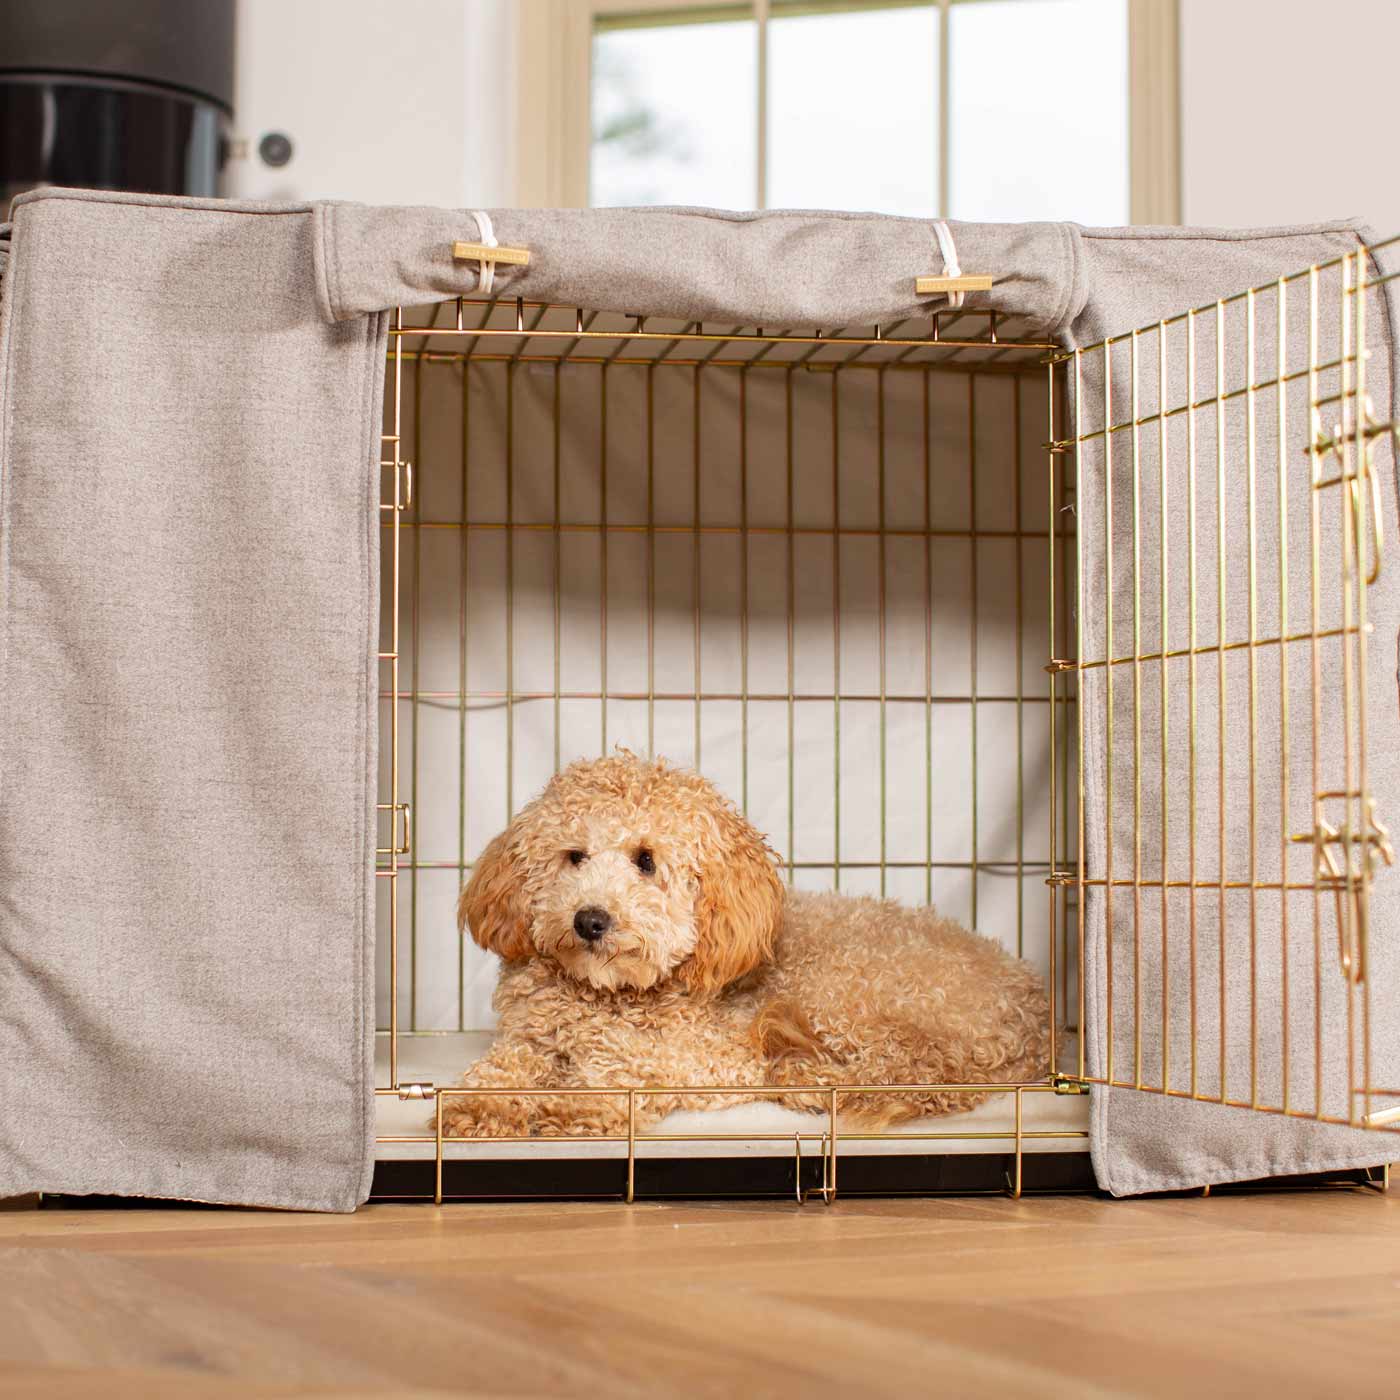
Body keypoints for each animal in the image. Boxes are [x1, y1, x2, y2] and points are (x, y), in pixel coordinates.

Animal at [442, 756, 1047, 1136]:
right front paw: (481, 1102)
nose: (590, 919)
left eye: (646, 860)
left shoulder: (713, 1057)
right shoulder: (528, 1036)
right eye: (574, 856)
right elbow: (506, 1065)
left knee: (908, 1072)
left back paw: (809, 1080)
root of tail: (1033, 1012)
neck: (608, 995)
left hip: (854, 993)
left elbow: (628, 1065)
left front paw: (570, 1102)